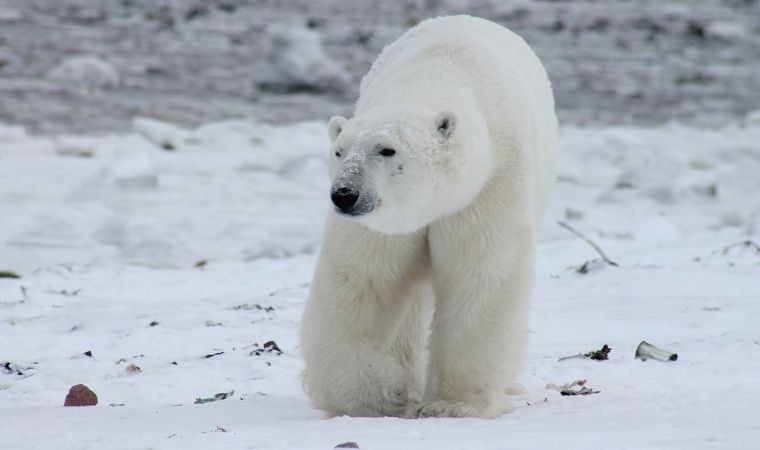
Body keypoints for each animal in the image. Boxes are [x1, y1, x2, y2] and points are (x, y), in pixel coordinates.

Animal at [300, 15, 556, 420]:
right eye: (339, 151)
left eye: (386, 150)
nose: (344, 194)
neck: (434, 76)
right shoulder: (385, 224)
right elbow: (362, 280)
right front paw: (377, 394)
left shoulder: (488, 186)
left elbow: (480, 275)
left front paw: (452, 404)